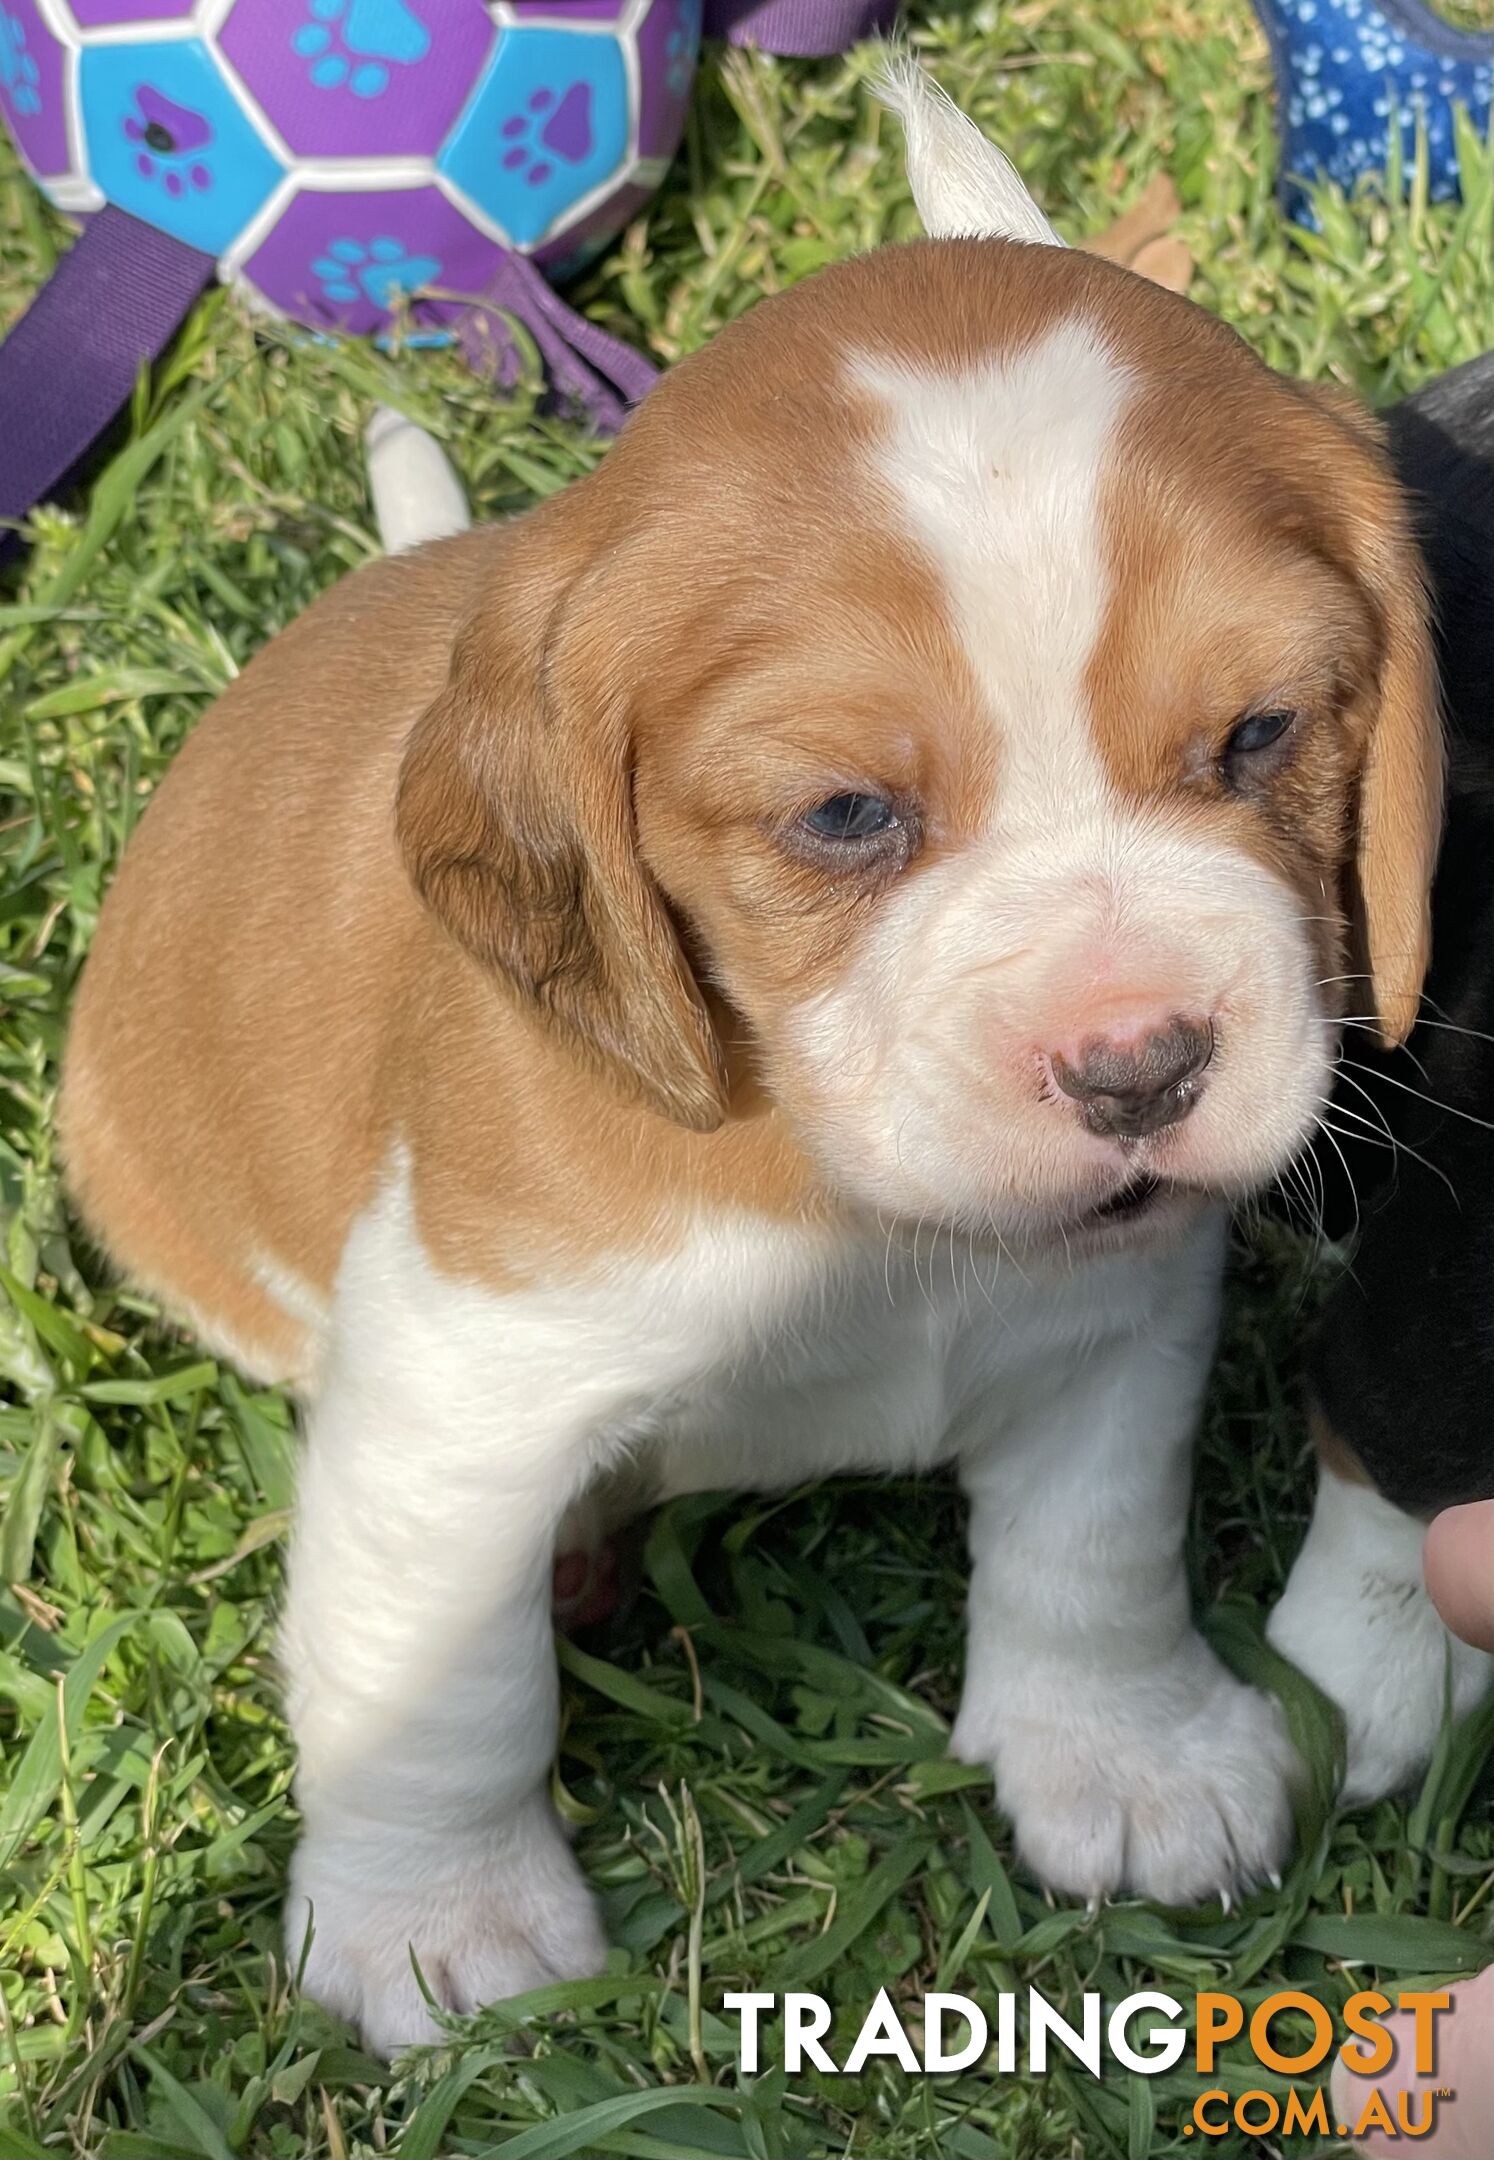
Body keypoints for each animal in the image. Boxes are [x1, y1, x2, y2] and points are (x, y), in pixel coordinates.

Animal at [61, 76, 1450, 2047]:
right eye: (844, 816)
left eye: (1259, 735)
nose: (1135, 1066)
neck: (843, 1186)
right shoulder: (455, 1414)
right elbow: (437, 1700)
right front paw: (437, 1926)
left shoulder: (1111, 1322)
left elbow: (1092, 1552)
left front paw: (1124, 1755)